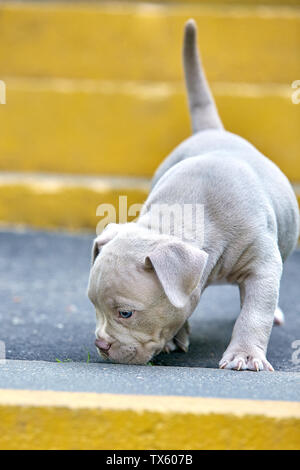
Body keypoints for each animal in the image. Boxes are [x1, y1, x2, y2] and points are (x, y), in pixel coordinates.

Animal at [88, 18, 298, 370]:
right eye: (93, 304)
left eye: (126, 313)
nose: (101, 344)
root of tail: (212, 131)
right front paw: (176, 335)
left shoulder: (262, 264)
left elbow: (255, 312)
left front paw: (245, 355)